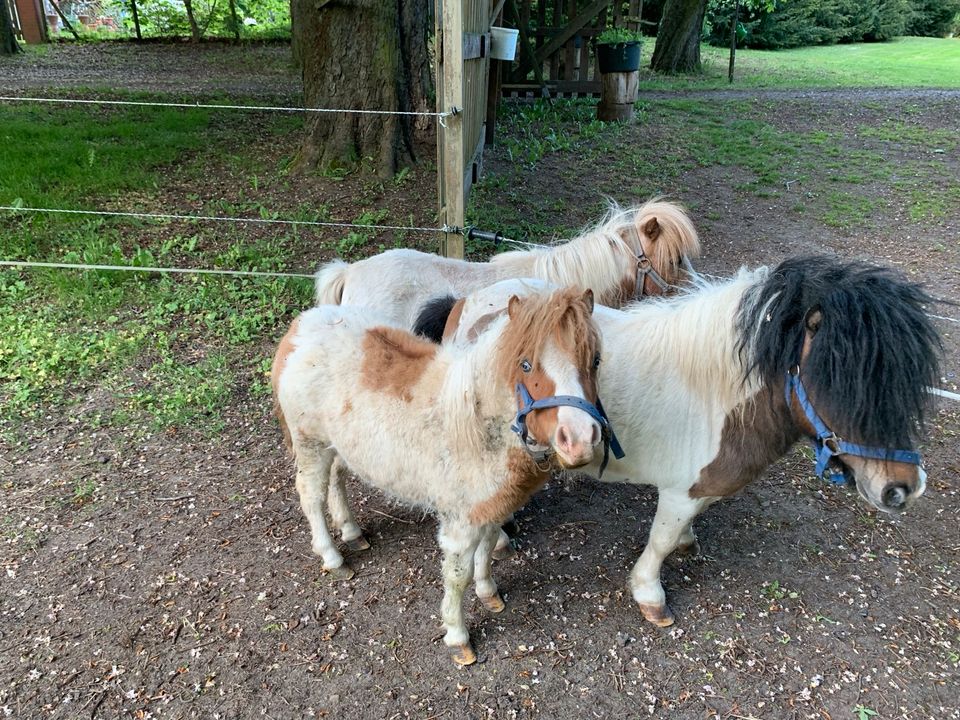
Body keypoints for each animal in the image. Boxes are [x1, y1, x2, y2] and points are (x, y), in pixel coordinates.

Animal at [274, 286, 612, 664]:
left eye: (595, 360)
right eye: (525, 364)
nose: (580, 439)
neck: (478, 426)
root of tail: (300, 329)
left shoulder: (491, 508)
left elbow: (487, 550)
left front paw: (489, 593)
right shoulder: (460, 523)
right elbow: (457, 576)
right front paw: (457, 636)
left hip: (337, 447)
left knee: (336, 480)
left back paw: (352, 531)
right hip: (311, 445)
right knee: (311, 496)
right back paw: (333, 558)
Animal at [416, 256, 940, 628]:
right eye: (838, 383)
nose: (904, 488)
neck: (716, 391)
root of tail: (468, 302)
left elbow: (684, 530)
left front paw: (689, 541)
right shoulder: (679, 491)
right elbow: (661, 541)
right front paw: (649, 594)